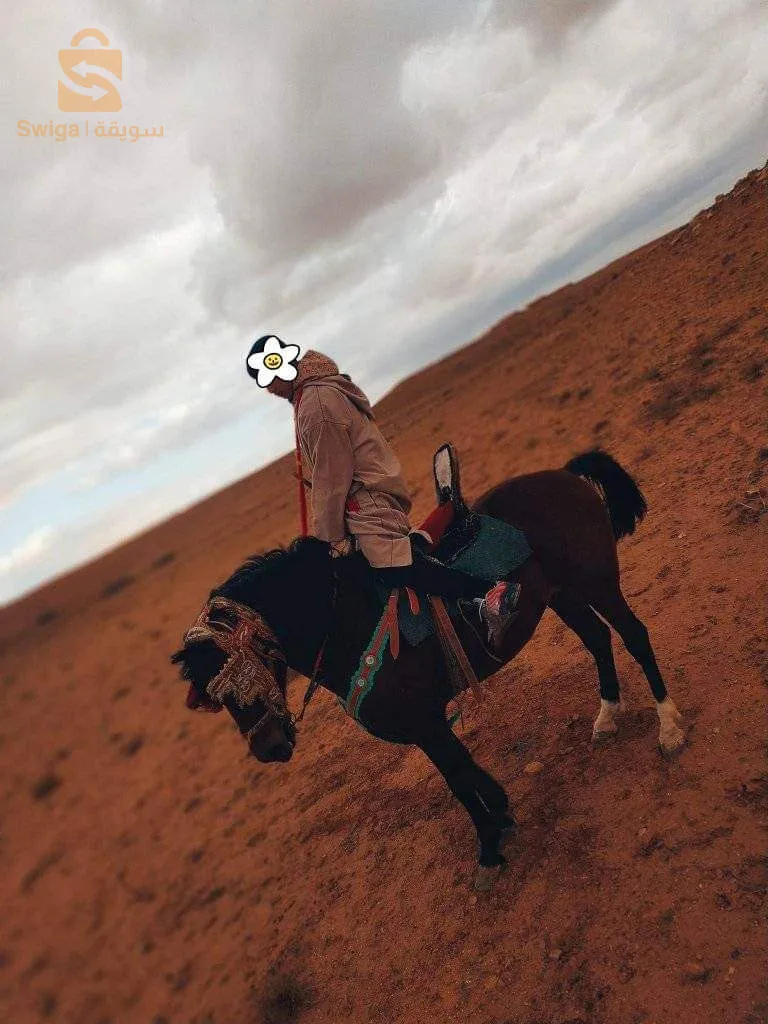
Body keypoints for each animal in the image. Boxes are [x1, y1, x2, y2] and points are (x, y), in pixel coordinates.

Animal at [171, 448, 686, 890]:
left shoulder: (426, 720)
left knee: (634, 637)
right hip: (562, 594)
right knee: (597, 640)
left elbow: (459, 777)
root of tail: (564, 476)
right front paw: (500, 817)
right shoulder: (423, 727)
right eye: (213, 695)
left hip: (597, 581)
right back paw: (607, 716)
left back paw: (670, 729)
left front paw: (490, 848)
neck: (345, 623)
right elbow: (463, 774)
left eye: (237, 669)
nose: (268, 747)